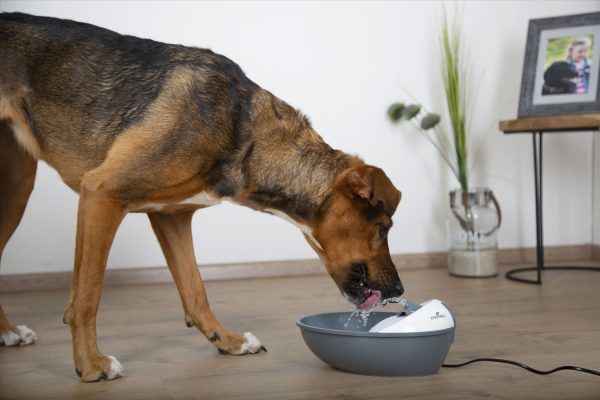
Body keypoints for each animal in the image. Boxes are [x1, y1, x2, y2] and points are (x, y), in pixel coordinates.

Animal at [1, 12, 404, 382]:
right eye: (384, 228)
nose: (399, 290)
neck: (243, 133)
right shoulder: (101, 193)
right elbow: (87, 296)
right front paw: (90, 364)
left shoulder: (171, 216)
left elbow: (196, 291)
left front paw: (227, 341)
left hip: (17, 190)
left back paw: (8, 333)